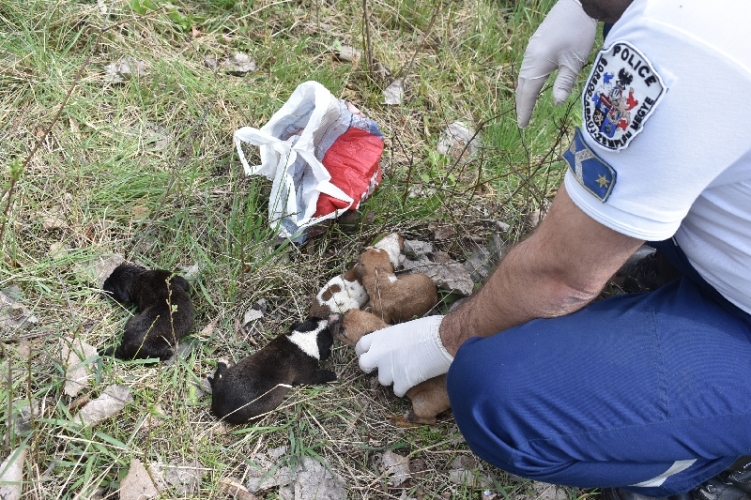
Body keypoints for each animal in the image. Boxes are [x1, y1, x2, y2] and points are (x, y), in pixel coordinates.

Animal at [206, 318, 334, 424]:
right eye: (330, 337)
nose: (327, 320)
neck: (305, 338)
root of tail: (217, 408)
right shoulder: (307, 374)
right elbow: (316, 377)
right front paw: (331, 375)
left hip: (224, 379)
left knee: (219, 377)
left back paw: (220, 367)